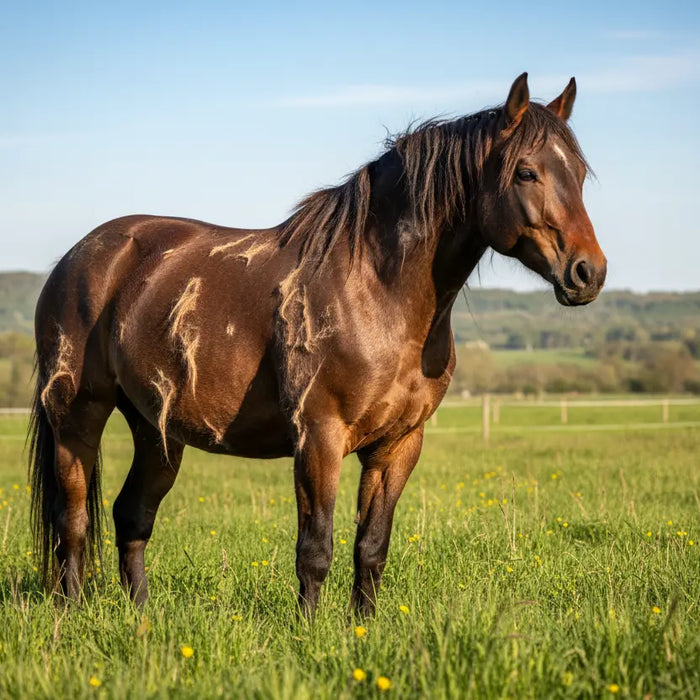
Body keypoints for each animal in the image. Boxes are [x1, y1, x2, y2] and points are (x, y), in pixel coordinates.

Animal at [28, 73, 606, 616]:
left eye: (579, 175)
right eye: (527, 172)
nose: (589, 273)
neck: (375, 291)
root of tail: (79, 257)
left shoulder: (398, 445)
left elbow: (371, 547)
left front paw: (360, 628)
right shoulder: (319, 437)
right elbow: (315, 549)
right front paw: (308, 633)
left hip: (157, 429)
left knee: (132, 515)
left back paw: (142, 618)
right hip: (78, 416)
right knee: (72, 519)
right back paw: (71, 613)